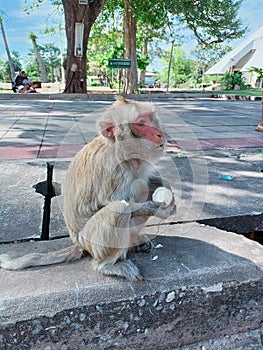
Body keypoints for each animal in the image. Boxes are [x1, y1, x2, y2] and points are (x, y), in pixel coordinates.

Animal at [1, 96, 177, 282]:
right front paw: (154, 208)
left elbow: (148, 183)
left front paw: (166, 190)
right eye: (141, 123)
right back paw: (106, 265)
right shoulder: (112, 170)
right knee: (119, 208)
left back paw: (135, 242)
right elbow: (109, 204)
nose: (160, 134)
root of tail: (79, 244)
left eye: (150, 118)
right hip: (93, 242)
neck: (122, 152)